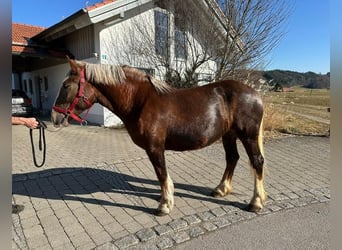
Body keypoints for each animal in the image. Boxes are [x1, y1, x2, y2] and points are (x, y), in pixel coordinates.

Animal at [50, 57, 266, 216]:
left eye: (67, 86)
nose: (54, 116)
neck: (140, 101)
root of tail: (255, 93)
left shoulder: (154, 148)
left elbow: (161, 174)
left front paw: (164, 205)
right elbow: (162, 176)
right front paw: (166, 199)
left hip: (248, 135)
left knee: (257, 161)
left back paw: (255, 202)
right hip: (229, 135)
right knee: (232, 158)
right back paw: (221, 189)